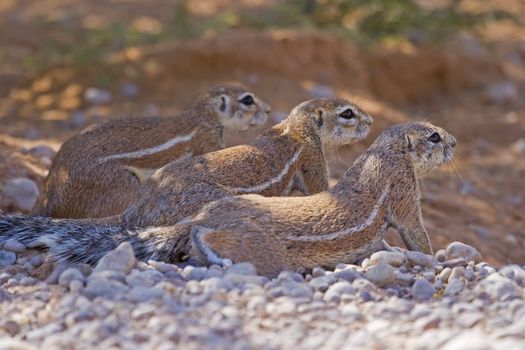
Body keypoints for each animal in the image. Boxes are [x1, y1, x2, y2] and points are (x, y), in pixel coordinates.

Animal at [33, 84, 270, 219]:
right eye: (247, 100)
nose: (268, 110)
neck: (202, 116)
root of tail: (49, 200)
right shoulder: (208, 142)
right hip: (122, 185)